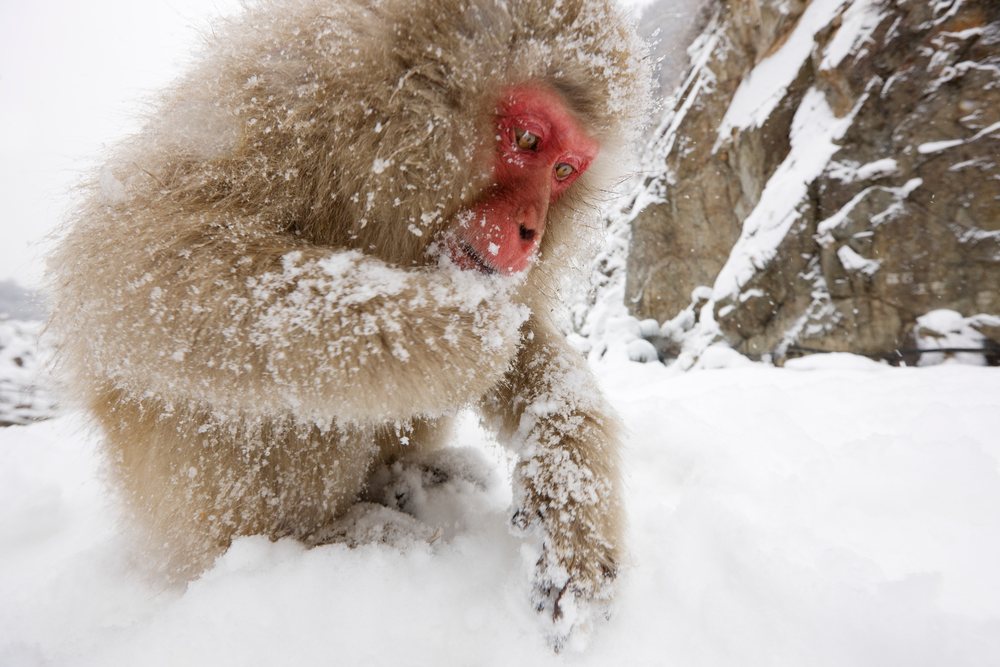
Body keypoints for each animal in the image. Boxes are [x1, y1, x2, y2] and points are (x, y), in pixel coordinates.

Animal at [48, 0, 649, 642]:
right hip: (175, 495)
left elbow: (526, 339)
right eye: (527, 139)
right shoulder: (285, 101)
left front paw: (572, 499)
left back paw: (413, 476)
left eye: (564, 170)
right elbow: (133, 256)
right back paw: (326, 536)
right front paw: (459, 332)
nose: (531, 231)